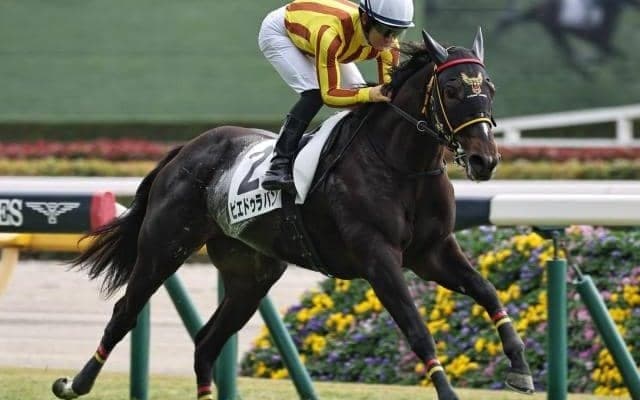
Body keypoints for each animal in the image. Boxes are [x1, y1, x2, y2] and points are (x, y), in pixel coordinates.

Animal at [51, 28, 534, 400]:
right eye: (451, 91)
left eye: (489, 89)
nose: (484, 160)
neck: (401, 165)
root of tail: (186, 148)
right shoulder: (378, 257)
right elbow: (417, 327)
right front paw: (450, 390)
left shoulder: (431, 251)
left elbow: (488, 291)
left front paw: (520, 367)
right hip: (163, 247)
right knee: (124, 313)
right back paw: (76, 383)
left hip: (252, 273)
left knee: (206, 342)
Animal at [495, 0, 639, 73]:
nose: (637, 6)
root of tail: (542, 7)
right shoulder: (599, 41)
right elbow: (611, 55)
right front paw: (587, 60)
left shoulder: (601, 42)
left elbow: (611, 55)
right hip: (556, 31)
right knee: (569, 58)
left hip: (554, 30)